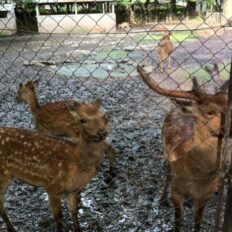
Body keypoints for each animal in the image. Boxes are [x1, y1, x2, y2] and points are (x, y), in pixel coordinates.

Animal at [0, 99, 110, 232]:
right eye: (82, 120)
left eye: (104, 116)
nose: (102, 132)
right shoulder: (51, 186)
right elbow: (58, 217)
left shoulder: (73, 190)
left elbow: (74, 213)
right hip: (2, 174)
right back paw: (12, 228)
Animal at [137, 65, 229, 232]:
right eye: (210, 112)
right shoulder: (177, 190)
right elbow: (178, 221)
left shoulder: (205, 195)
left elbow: (198, 222)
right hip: (165, 151)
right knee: (167, 171)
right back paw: (162, 198)